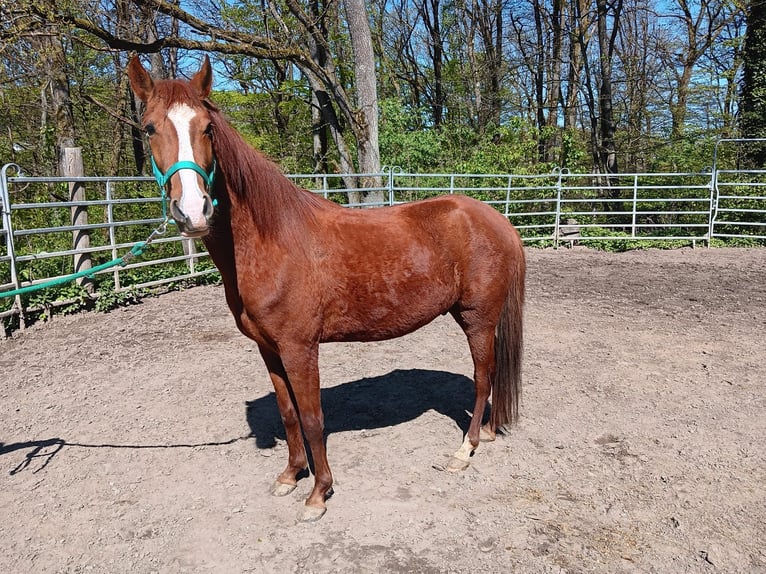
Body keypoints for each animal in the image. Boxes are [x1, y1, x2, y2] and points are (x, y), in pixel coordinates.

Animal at [127, 55, 526, 522]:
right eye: (149, 128)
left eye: (207, 128)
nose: (193, 211)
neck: (271, 239)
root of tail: (498, 221)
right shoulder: (270, 349)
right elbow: (288, 414)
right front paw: (290, 476)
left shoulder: (300, 348)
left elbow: (313, 417)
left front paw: (318, 493)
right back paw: (490, 433)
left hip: (477, 319)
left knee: (483, 378)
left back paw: (466, 449)